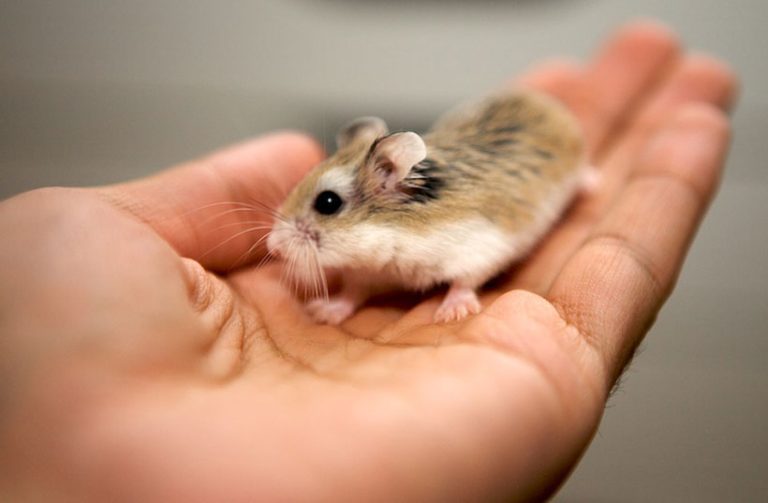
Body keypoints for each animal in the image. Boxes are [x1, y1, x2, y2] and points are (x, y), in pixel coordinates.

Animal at [266, 89, 587, 324]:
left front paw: (452, 313)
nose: (273, 247)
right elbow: (352, 293)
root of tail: (540, 100)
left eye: (328, 202)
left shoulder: (478, 248)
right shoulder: (367, 274)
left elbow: (464, 282)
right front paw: (323, 312)